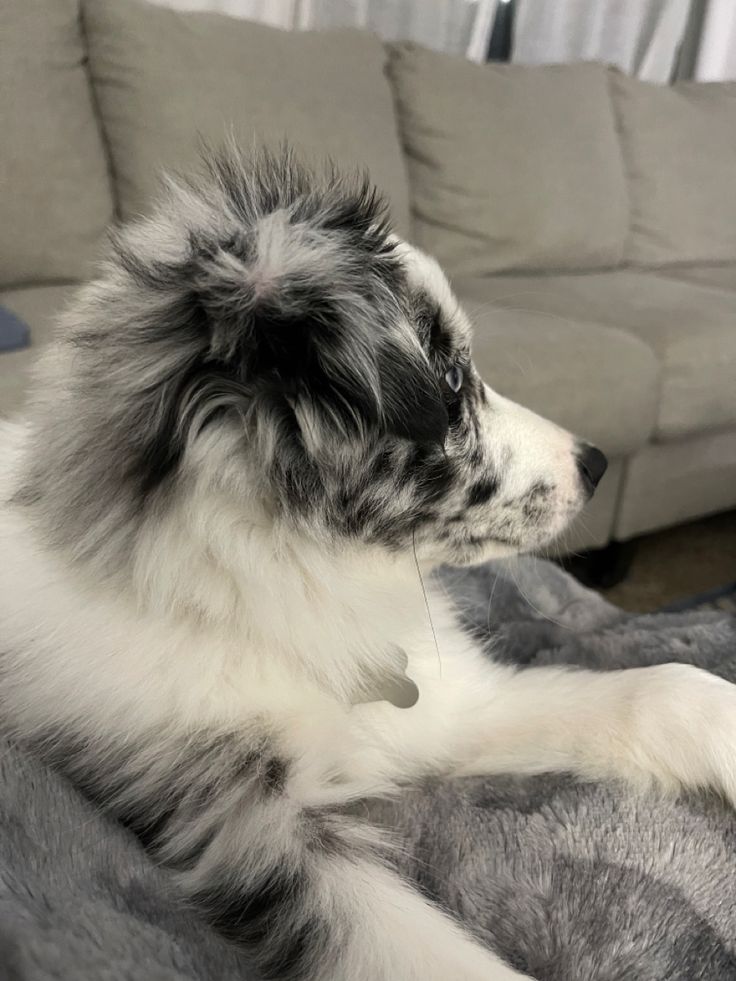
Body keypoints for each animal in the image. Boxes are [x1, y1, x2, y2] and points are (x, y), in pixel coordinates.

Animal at [1, 147, 736, 980]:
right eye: (450, 382)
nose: (597, 462)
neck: (292, 589)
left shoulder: (448, 708)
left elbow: (659, 689)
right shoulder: (243, 824)